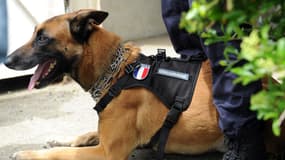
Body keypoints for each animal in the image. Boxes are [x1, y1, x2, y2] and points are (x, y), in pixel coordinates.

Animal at [3, 9, 284, 160]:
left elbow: (62, 154)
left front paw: (28, 154)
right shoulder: (105, 136)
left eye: (42, 38)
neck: (117, 73)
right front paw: (58, 139)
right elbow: (86, 133)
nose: (6, 61)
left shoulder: (107, 152)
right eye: (34, 34)